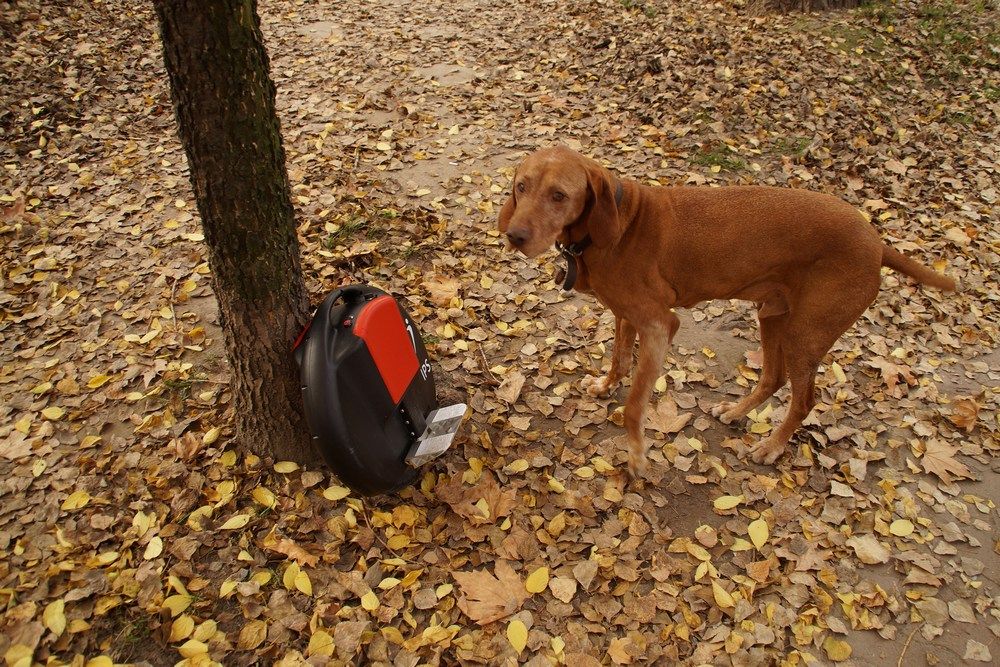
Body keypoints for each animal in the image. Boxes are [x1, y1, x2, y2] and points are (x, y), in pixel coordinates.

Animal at [500, 147, 952, 480]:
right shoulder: (625, 316)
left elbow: (633, 406)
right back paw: (735, 412)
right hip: (772, 315)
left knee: (804, 399)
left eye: (559, 195)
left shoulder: (660, 325)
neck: (617, 225)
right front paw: (605, 386)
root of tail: (877, 243)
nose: (514, 236)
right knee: (773, 377)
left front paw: (637, 457)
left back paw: (771, 447)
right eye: (521, 186)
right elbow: (617, 359)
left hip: (805, 334)